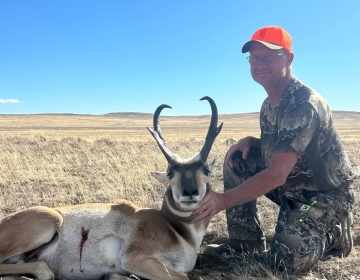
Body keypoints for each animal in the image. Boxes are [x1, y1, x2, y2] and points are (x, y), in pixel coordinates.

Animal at [0, 97, 224, 280]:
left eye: (206, 170)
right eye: (170, 172)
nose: (189, 192)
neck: (175, 229)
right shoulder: (135, 259)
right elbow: (184, 277)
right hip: (50, 220)